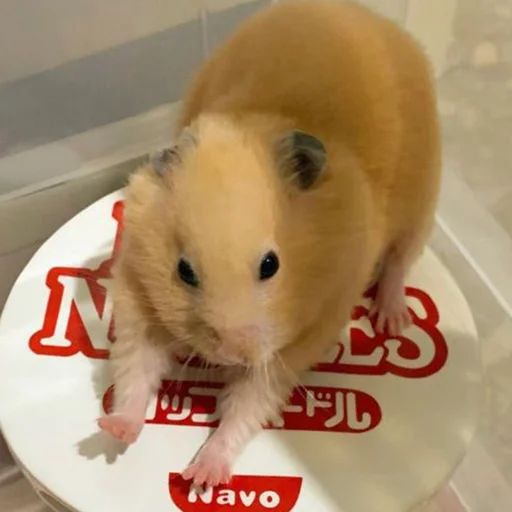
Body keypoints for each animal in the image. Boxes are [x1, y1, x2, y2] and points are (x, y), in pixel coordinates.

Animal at [99, 0, 440, 488]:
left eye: (270, 265)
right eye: (184, 270)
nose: (231, 352)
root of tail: (364, 13)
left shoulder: (305, 334)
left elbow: (247, 405)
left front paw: (201, 478)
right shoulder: (136, 293)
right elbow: (136, 371)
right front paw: (111, 431)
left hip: (423, 195)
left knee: (399, 262)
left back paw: (393, 321)